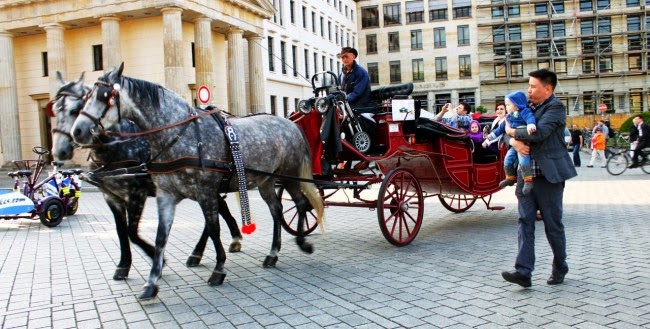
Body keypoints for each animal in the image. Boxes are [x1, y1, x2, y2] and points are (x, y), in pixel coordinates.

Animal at [50, 72, 242, 280]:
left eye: (75, 109)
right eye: (54, 110)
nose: (59, 151)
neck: (119, 145)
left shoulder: (137, 192)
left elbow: (132, 232)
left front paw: (158, 260)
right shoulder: (111, 196)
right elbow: (121, 231)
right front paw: (124, 264)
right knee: (216, 211)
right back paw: (211, 247)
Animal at [71, 62, 324, 298]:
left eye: (105, 96)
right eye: (86, 98)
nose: (78, 131)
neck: (178, 136)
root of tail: (290, 124)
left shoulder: (198, 191)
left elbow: (213, 228)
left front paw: (219, 268)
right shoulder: (165, 195)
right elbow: (160, 236)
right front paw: (151, 281)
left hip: (288, 176)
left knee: (300, 204)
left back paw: (302, 242)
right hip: (266, 182)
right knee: (276, 209)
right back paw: (273, 253)